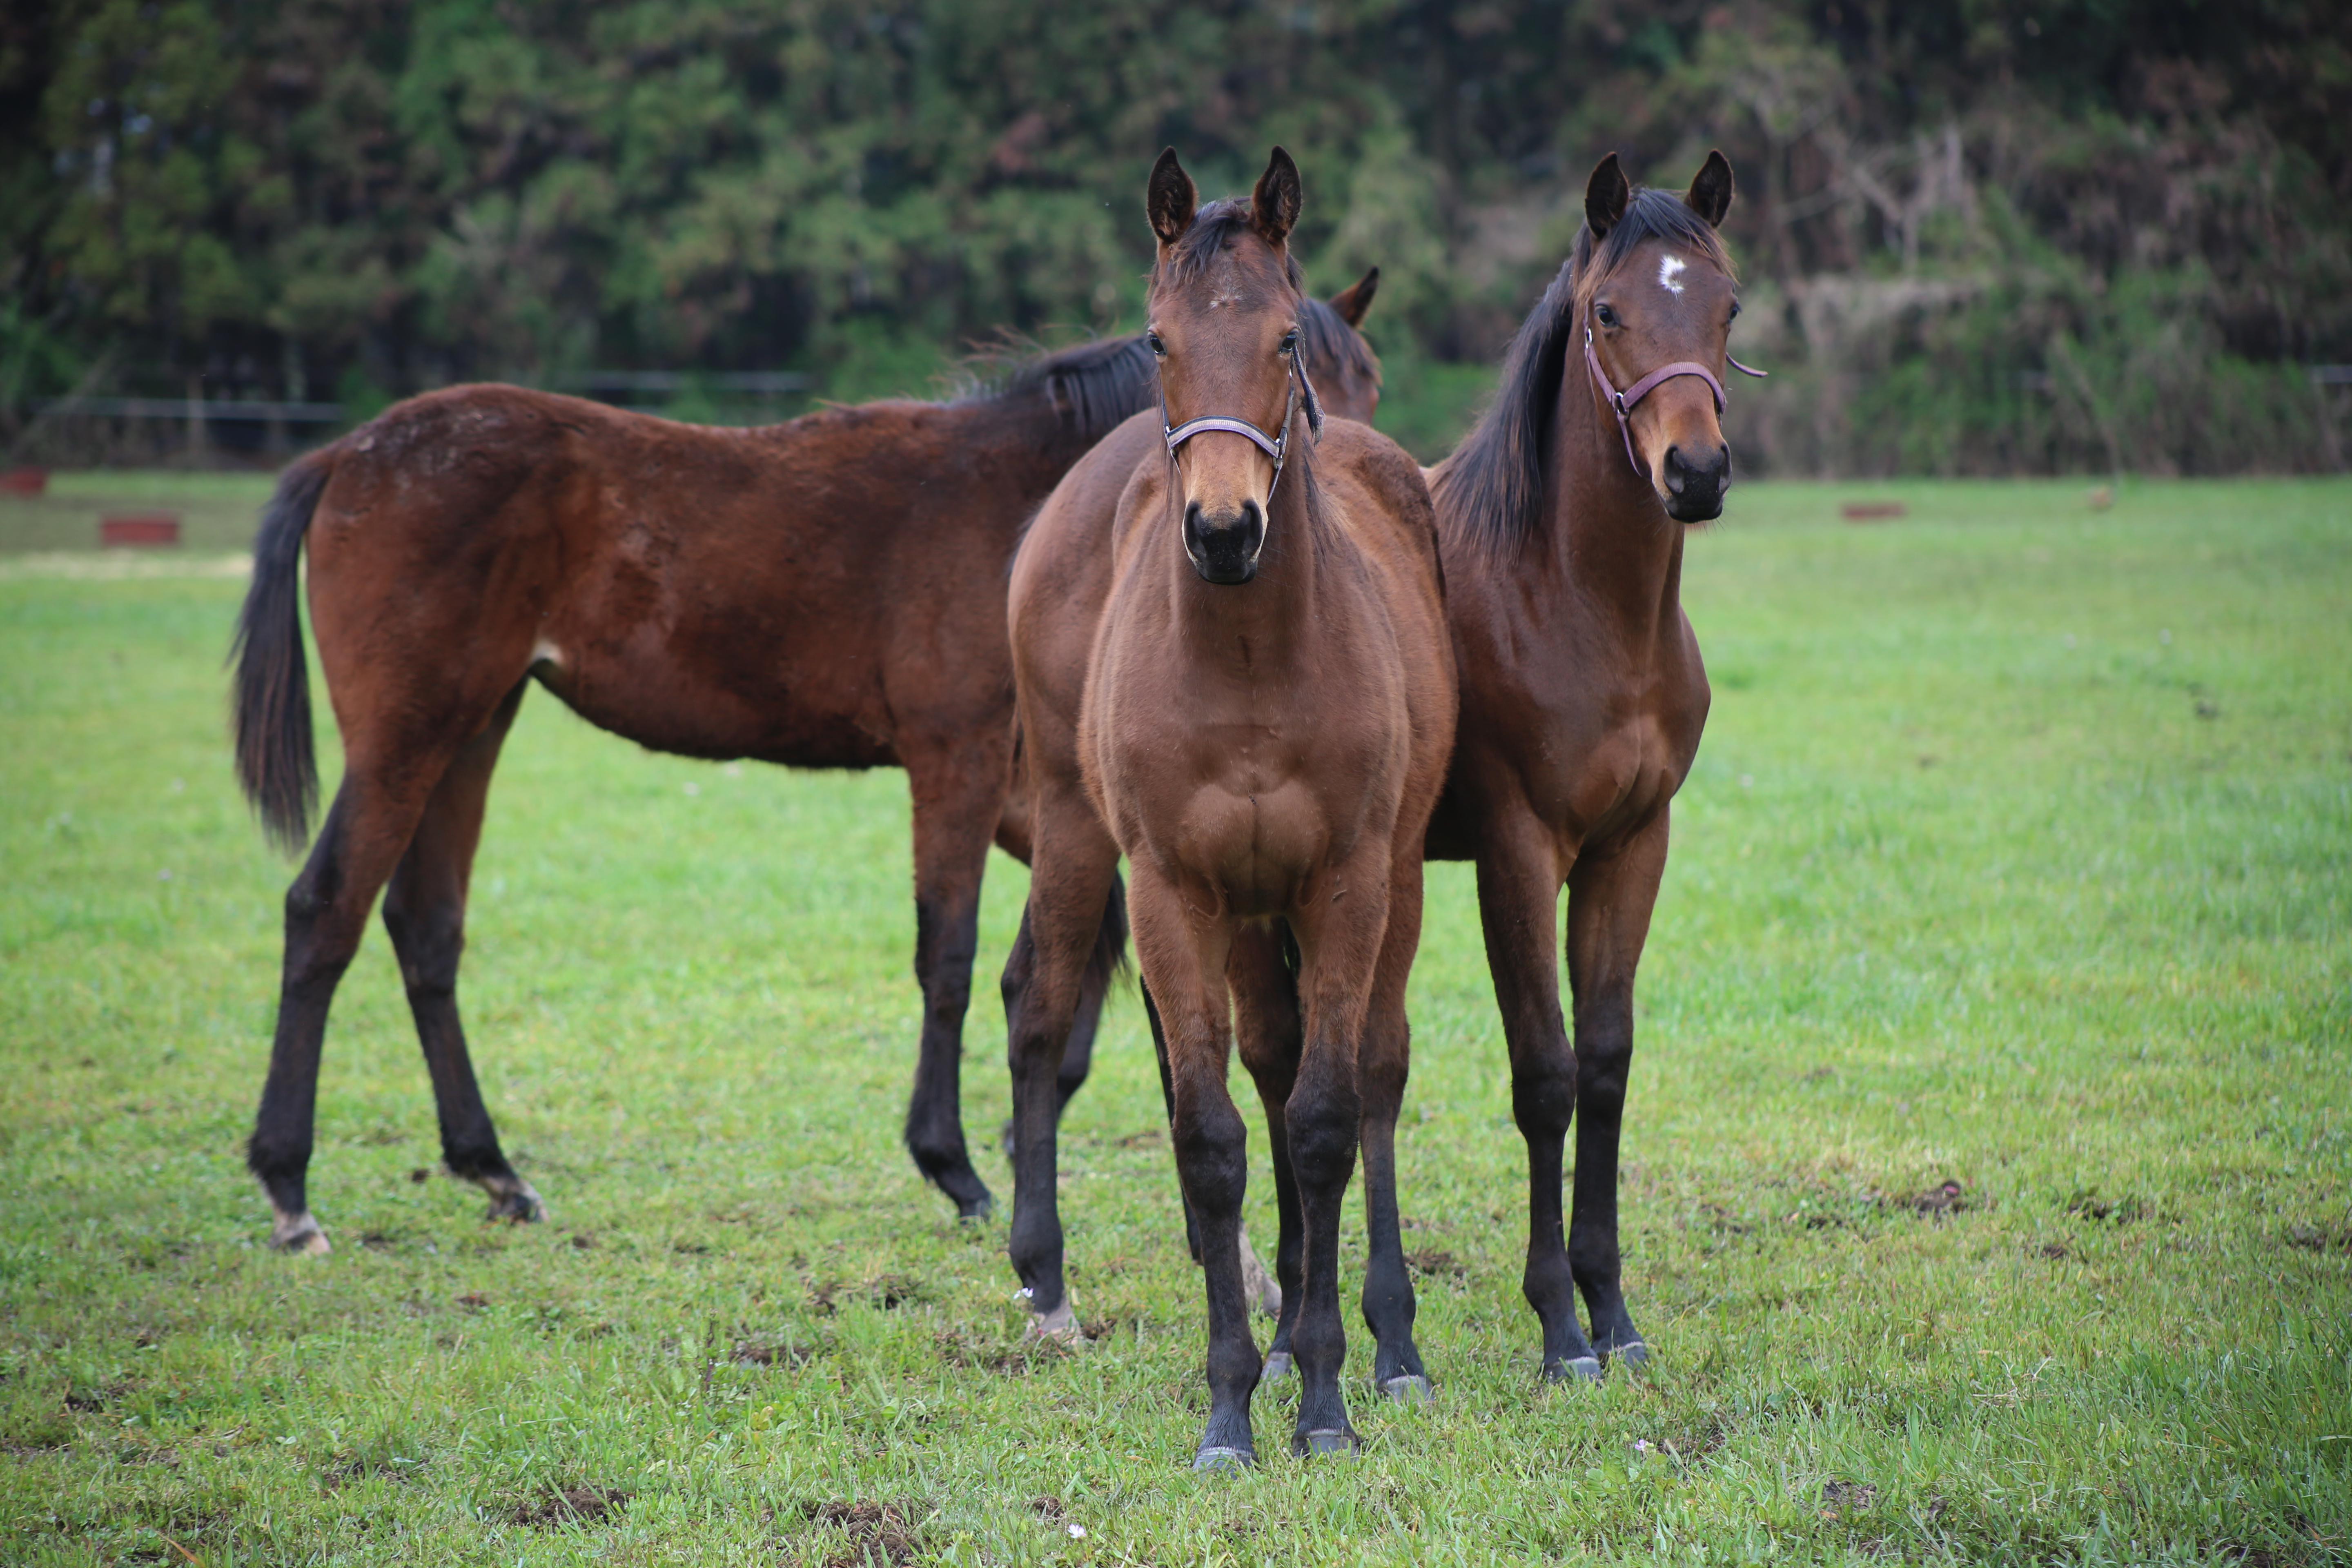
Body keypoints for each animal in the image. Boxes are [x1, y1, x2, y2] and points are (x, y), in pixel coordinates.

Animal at [225, 294, 1373, 1260]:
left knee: (424, 928)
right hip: (405, 737)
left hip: (473, 727)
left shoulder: (1055, 794)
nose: (1261, 539)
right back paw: (289, 1191)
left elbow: (1072, 957)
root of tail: (347, 453)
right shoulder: (957, 759)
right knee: (324, 911)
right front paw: (956, 1166)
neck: (1032, 509)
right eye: (1304, 382)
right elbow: (954, 957)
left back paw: (492, 1169)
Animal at [997, 153, 1449, 1467]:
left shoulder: (1346, 883)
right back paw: (1057, 1291)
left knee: (1363, 1076)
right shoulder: (1175, 892)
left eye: (1284, 335)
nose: (1222, 530)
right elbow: (1210, 1136)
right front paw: (1230, 1407)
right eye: (1156, 339)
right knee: (1056, 1013)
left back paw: (1384, 1344)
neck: (1249, 662)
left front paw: (1327, 1398)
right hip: (1085, 839)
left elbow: (1324, 1120)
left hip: (1384, 885)